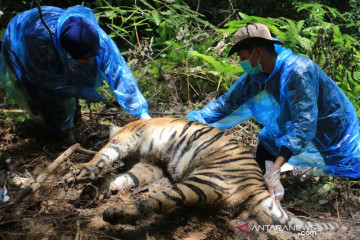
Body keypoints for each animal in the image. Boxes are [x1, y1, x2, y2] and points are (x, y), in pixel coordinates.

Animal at [67, 117, 340, 232]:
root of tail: (259, 185)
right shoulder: (149, 165)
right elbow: (123, 177)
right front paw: (97, 189)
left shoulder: (128, 137)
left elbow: (104, 155)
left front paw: (81, 172)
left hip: (199, 181)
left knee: (152, 203)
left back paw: (115, 214)